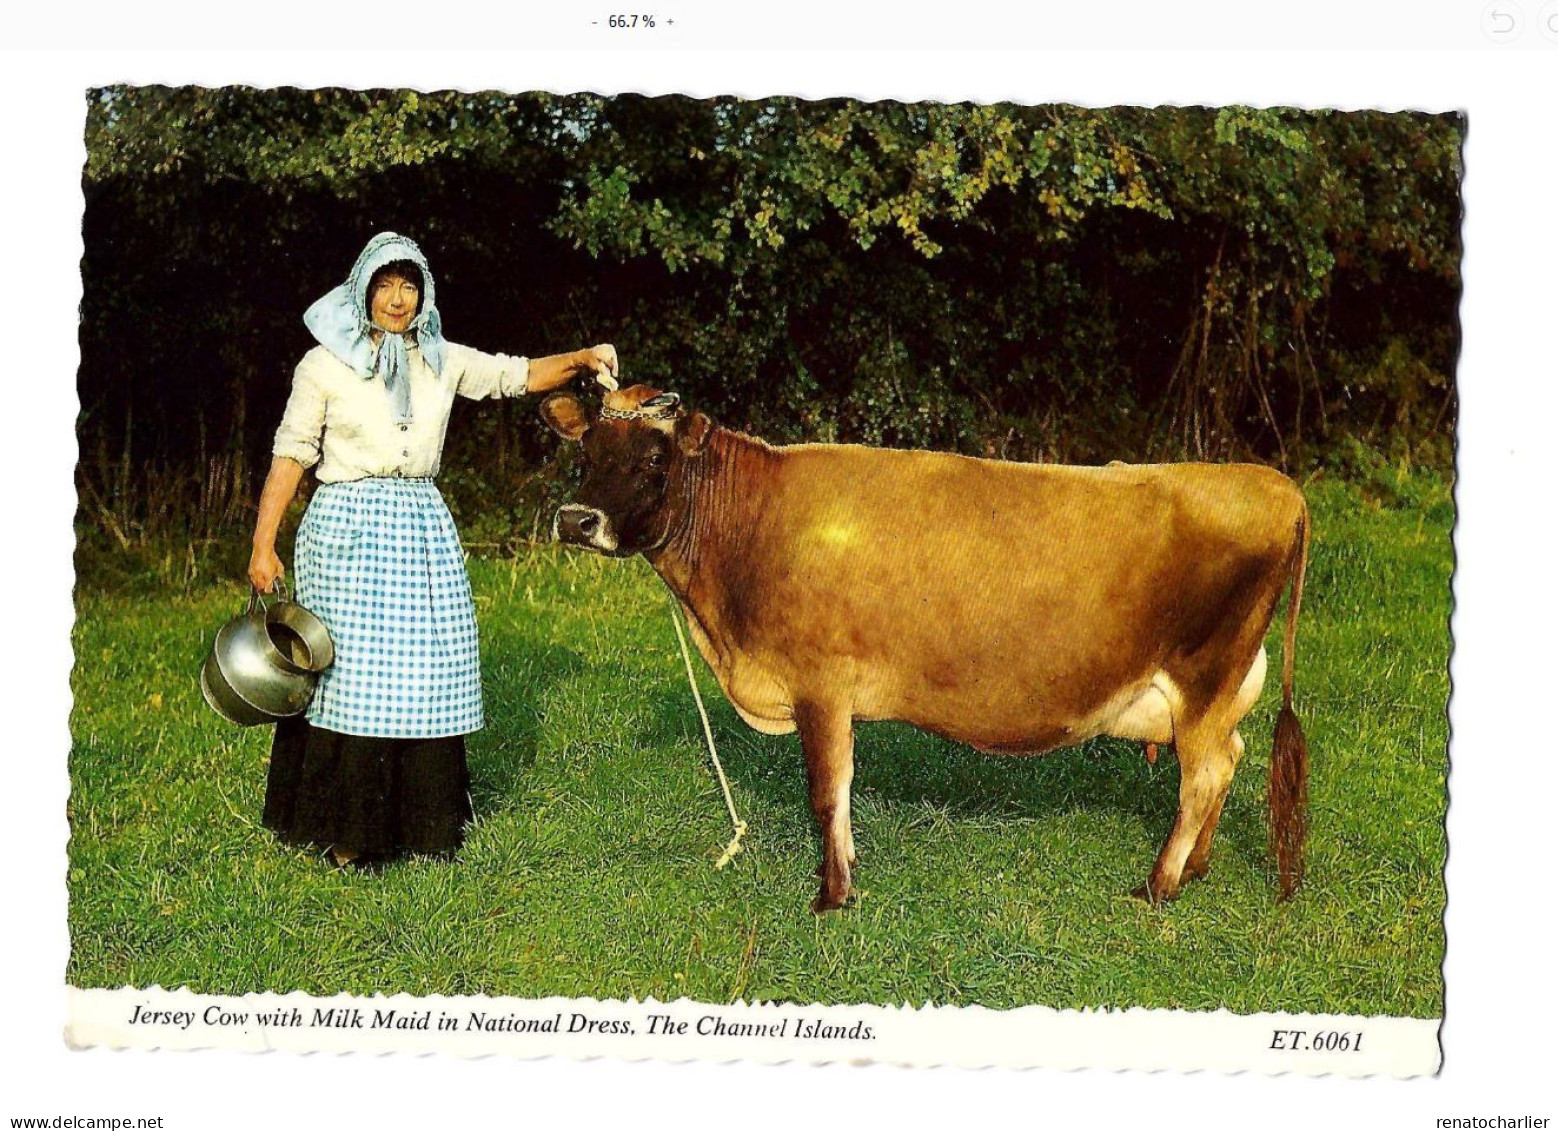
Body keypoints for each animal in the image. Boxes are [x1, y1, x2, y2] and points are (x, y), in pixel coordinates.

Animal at [542, 384, 1308, 916]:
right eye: (584, 455)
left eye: (653, 458)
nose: (576, 520)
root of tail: (1275, 483)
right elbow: (842, 788)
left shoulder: (819, 681)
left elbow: (826, 790)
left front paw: (831, 896)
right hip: (1219, 686)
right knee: (1229, 757)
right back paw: (1198, 867)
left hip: (1204, 674)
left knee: (1203, 773)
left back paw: (1158, 885)